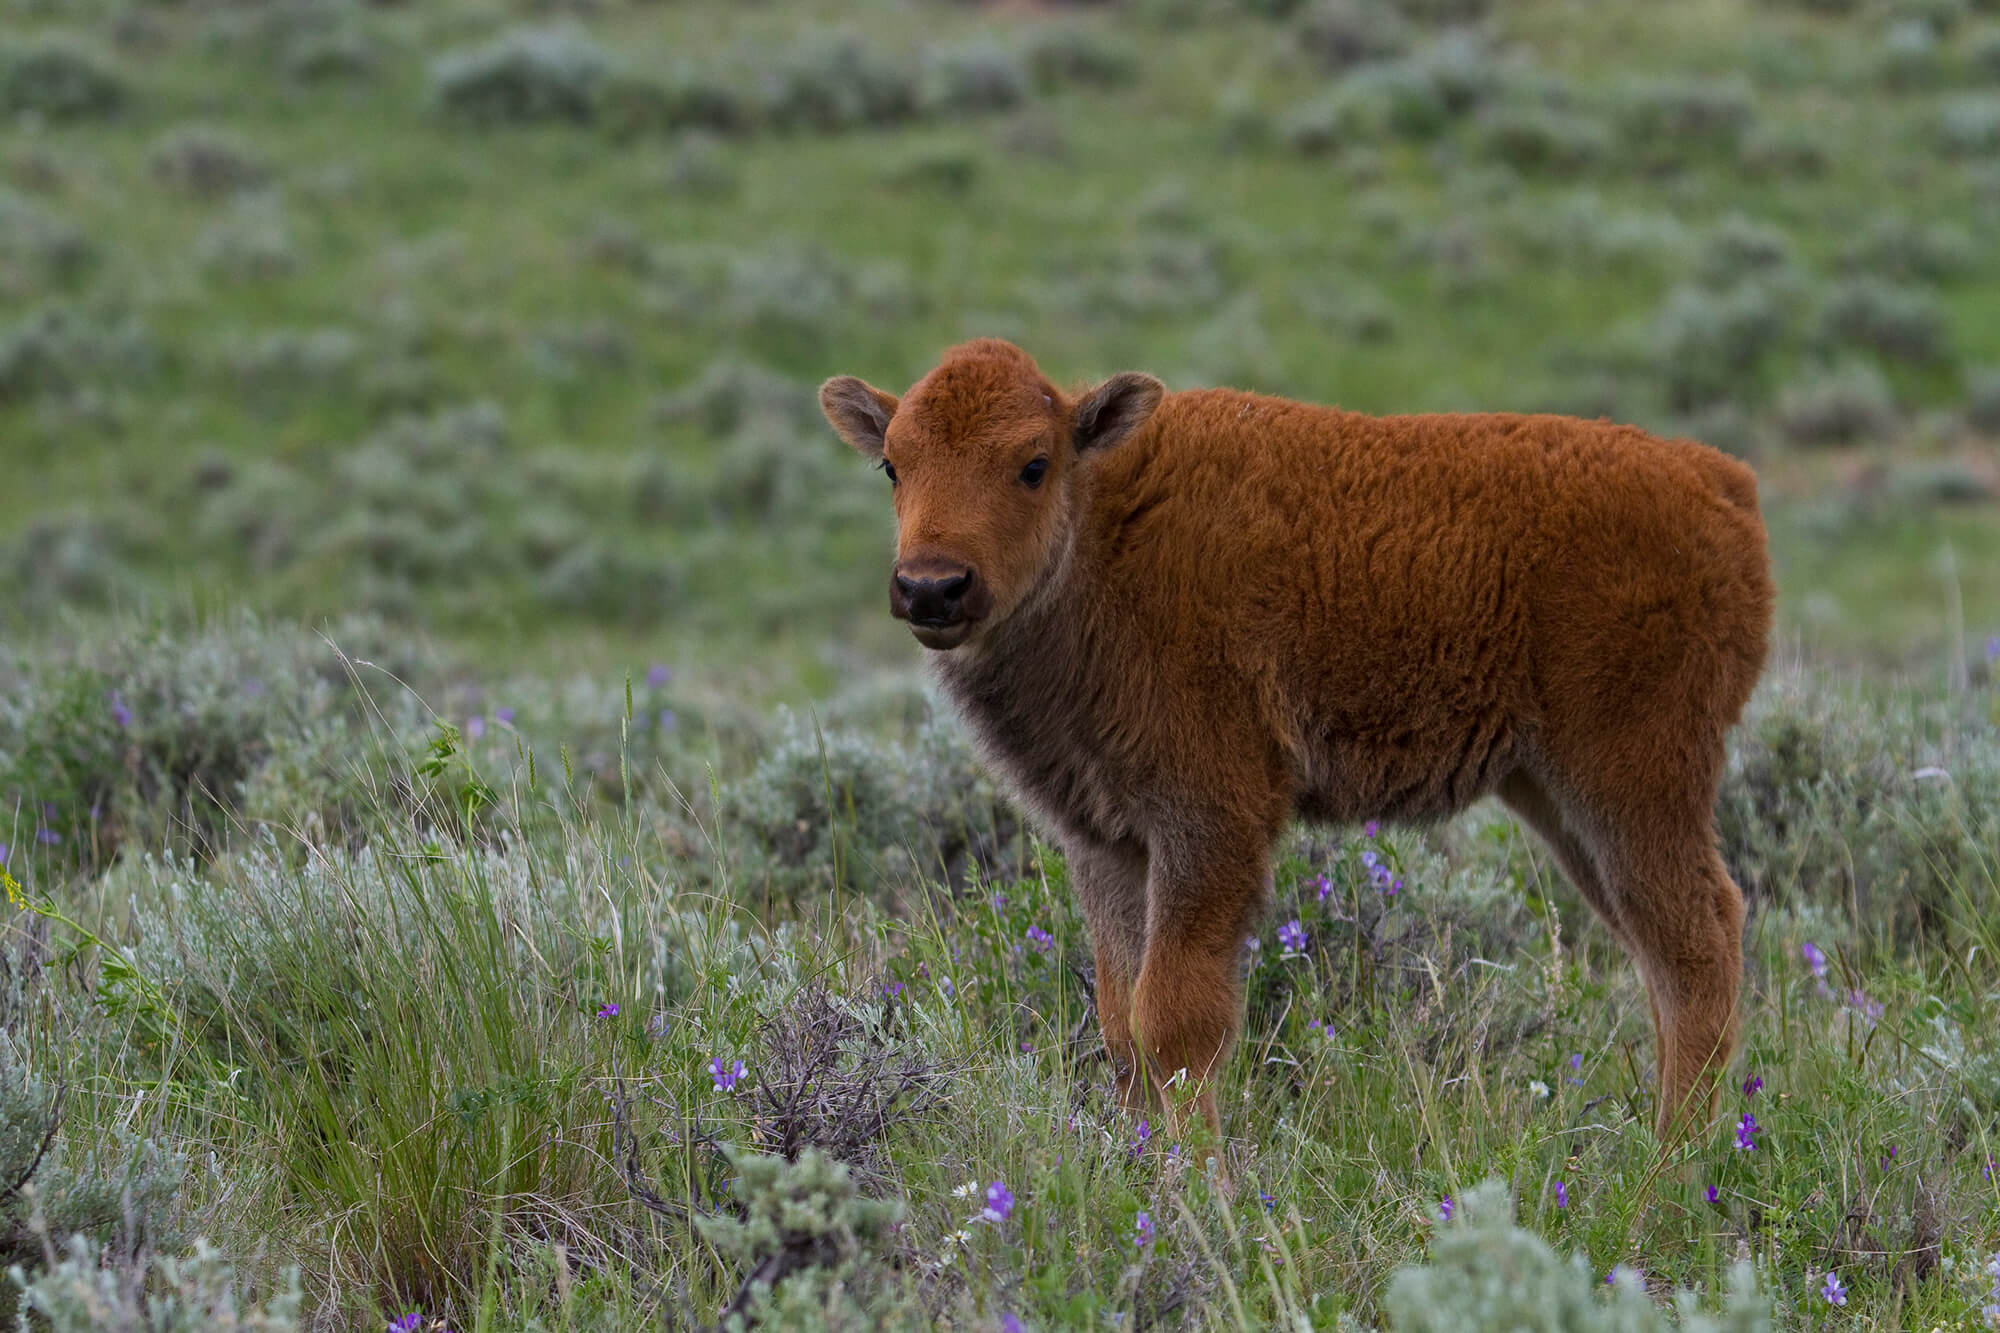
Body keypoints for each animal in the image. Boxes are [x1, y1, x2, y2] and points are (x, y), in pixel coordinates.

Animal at [819, 338, 1774, 1144]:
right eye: (893, 464)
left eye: (1032, 463)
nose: (932, 586)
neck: (1103, 531)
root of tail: (1723, 483)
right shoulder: (1107, 841)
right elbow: (1122, 1024)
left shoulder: (1211, 820)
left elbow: (1176, 1021)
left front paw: (1201, 1194)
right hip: (1556, 795)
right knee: (1660, 953)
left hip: (1631, 780)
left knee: (1699, 944)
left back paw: (1669, 1174)